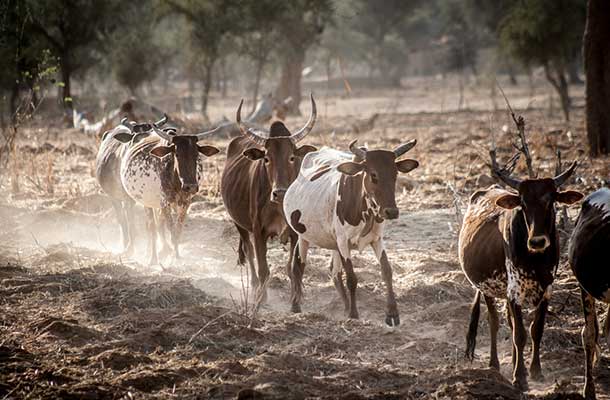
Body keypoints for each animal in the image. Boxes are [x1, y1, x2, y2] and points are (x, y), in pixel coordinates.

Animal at [222, 94, 318, 300]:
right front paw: (262, 299)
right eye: (266, 159)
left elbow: (294, 269)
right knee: (249, 252)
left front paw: (296, 299)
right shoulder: (259, 231)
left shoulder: (296, 233)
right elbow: (263, 269)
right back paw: (254, 286)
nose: (279, 192)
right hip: (238, 223)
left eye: (292, 157)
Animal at [282, 140, 416, 324]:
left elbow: (387, 271)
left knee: (335, 273)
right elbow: (352, 278)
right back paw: (296, 307)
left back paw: (344, 307)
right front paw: (354, 314)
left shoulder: (376, 239)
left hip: (333, 244)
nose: (391, 212)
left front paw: (392, 314)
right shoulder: (343, 242)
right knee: (298, 266)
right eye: (373, 175)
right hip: (303, 236)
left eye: (395, 174)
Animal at [458, 162, 580, 390]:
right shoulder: (514, 291)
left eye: (551, 200)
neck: (535, 259)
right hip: (487, 288)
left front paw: (535, 371)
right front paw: (520, 377)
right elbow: (520, 334)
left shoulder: (546, 290)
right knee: (495, 321)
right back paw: (494, 364)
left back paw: (515, 361)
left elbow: (535, 330)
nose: (537, 241)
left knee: (510, 321)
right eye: (523, 203)